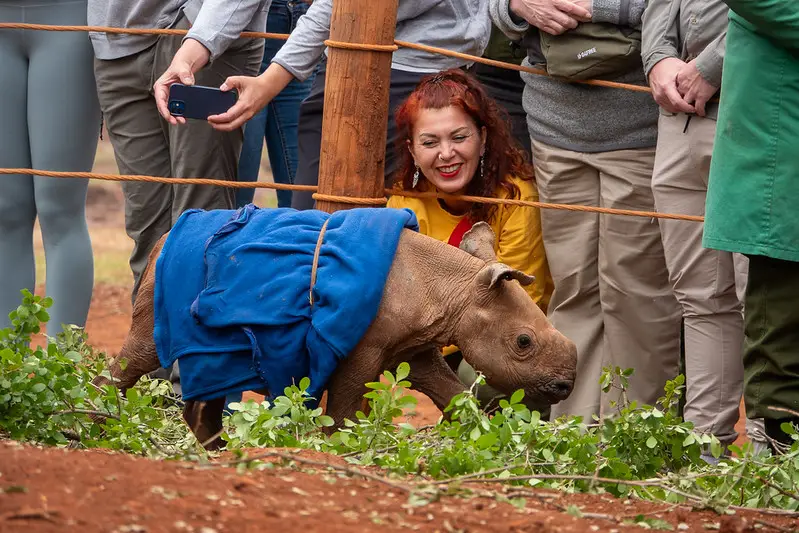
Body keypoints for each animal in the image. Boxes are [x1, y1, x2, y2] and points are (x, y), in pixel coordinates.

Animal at [94, 221, 577, 448]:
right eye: (523, 343)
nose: (564, 387)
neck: (454, 286)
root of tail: (163, 239)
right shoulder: (359, 346)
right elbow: (345, 408)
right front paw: (339, 451)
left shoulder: (416, 347)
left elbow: (456, 398)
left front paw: (493, 438)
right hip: (168, 278)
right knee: (143, 352)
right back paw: (96, 428)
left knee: (212, 364)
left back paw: (224, 451)